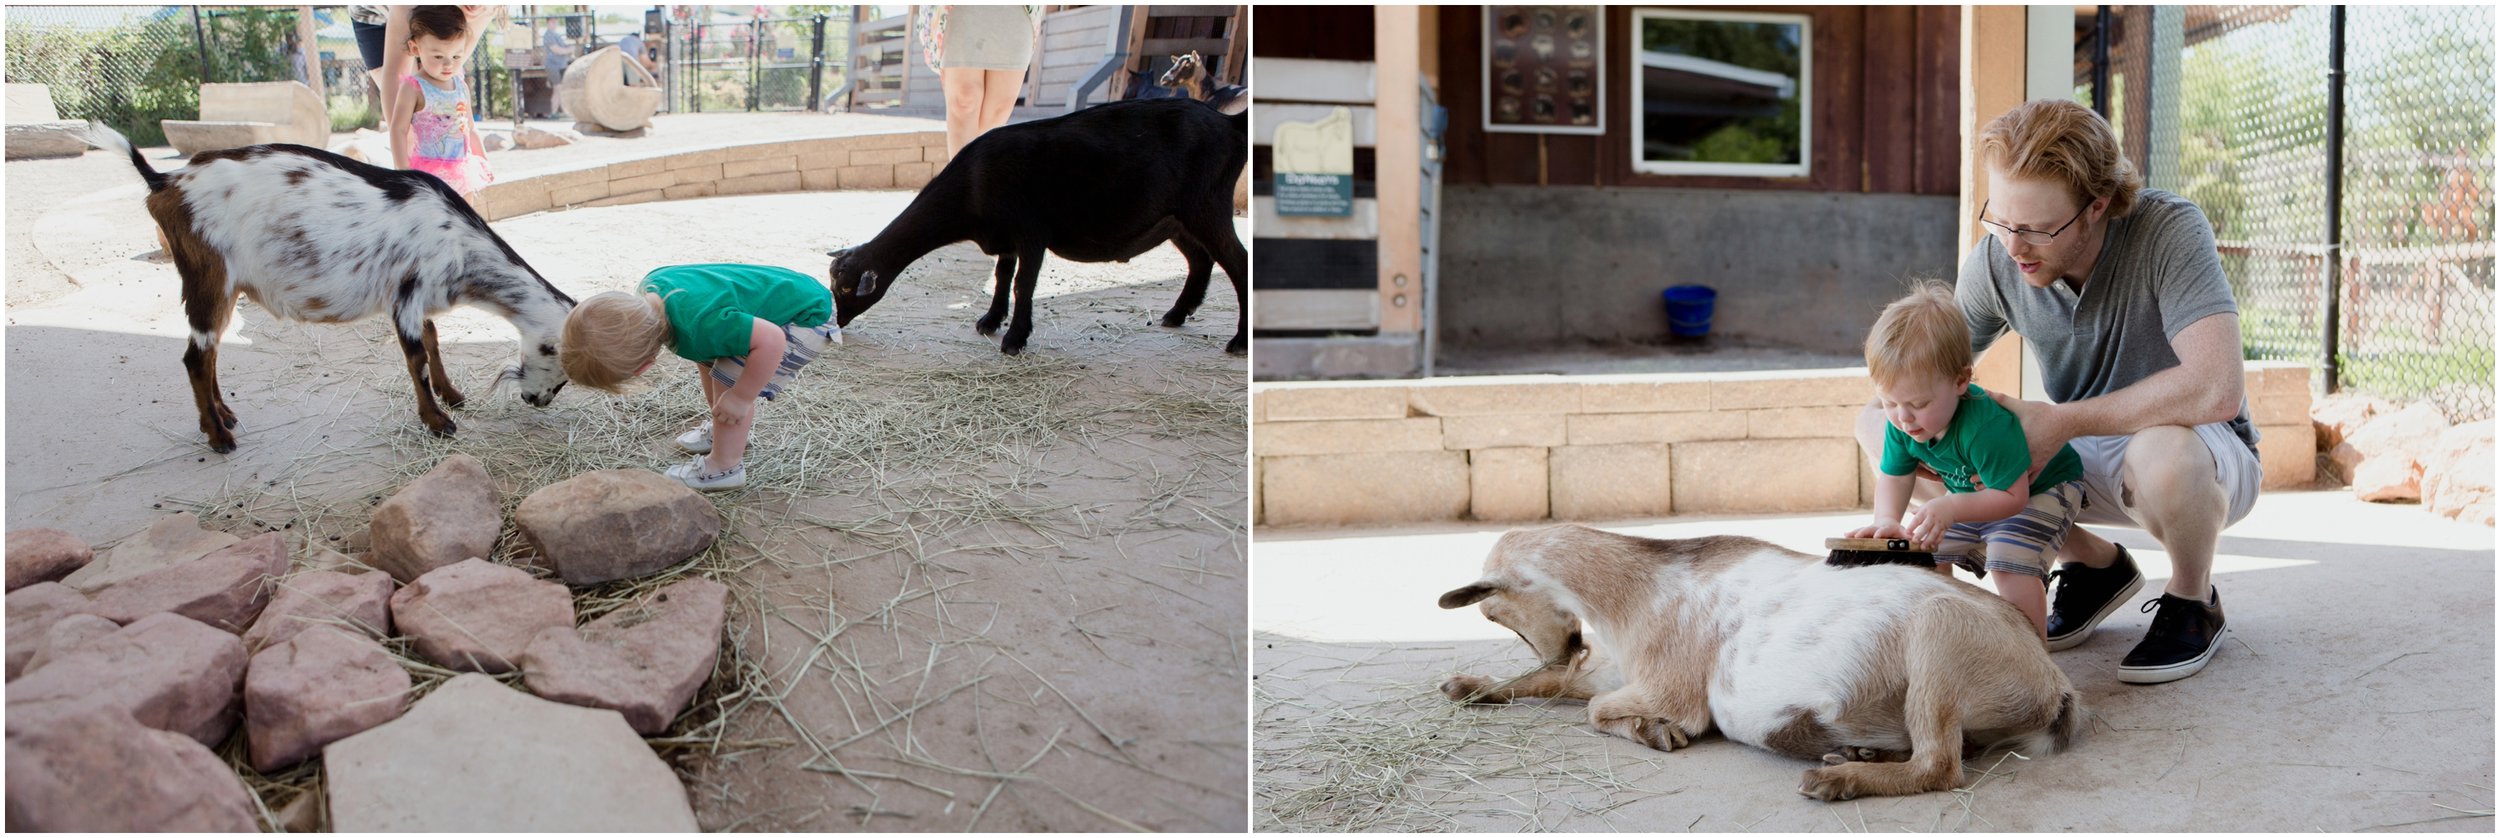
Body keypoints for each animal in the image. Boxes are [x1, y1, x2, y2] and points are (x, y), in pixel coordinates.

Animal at [93, 125, 575, 452]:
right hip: (208, 275)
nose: (538, 401)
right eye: (565, 373)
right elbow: (416, 357)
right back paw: (218, 437)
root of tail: (165, 181)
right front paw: (437, 422)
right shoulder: (407, 294)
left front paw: (453, 396)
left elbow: (434, 342)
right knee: (195, 356)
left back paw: (224, 416)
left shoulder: (418, 302)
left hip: (223, 289)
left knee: (209, 351)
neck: (460, 244)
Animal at [825, 97, 1245, 355]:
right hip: (1176, 221)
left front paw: (1014, 339)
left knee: (1237, 262)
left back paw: (1239, 341)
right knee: (1201, 260)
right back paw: (1177, 314)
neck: (972, 187)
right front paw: (990, 321)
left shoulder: (1031, 234)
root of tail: (1230, 123)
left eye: (845, 287)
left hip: (1206, 206)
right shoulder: (1005, 239)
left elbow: (1022, 284)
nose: (836, 323)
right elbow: (1001, 277)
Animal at [1440, 522, 2080, 805]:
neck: (1638, 587)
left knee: (1941, 766)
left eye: (1494, 612)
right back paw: (1859, 754)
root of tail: (2053, 686)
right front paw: (1471, 686)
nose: (1565, 647)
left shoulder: (1671, 685)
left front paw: (1654, 732)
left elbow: (1597, 707)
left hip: (1939, 637)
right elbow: (1573, 686)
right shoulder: (1628, 668)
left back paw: (1837, 778)